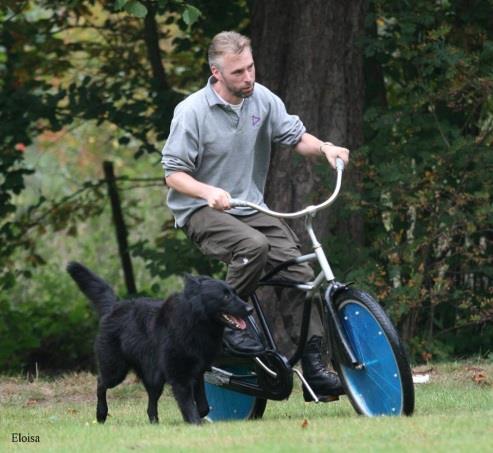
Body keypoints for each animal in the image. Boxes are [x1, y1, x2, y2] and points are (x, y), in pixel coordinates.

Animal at [66, 262, 250, 424]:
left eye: (234, 292)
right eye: (225, 296)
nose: (250, 309)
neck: (194, 321)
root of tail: (114, 306)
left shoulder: (198, 372)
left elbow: (203, 406)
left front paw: (198, 417)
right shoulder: (179, 376)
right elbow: (188, 403)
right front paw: (194, 422)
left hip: (153, 377)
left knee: (150, 404)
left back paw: (154, 422)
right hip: (115, 371)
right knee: (100, 383)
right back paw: (101, 414)